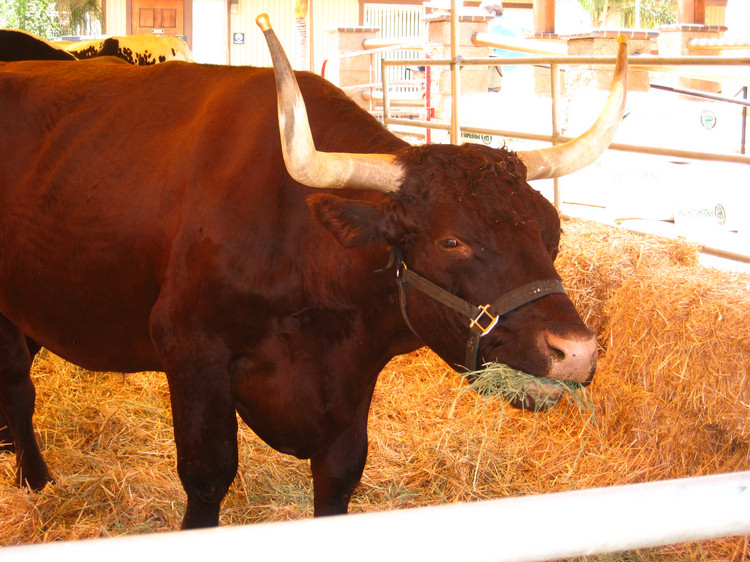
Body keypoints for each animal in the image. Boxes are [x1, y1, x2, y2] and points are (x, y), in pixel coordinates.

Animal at [0, 15, 628, 528]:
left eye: (552, 229)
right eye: (451, 240)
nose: (575, 351)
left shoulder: (352, 380)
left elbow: (339, 476)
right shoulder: (190, 348)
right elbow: (207, 475)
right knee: (19, 388)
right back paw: (35, 480)